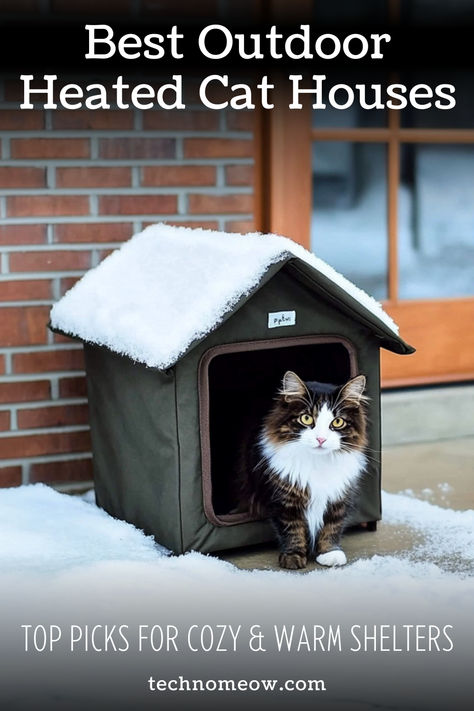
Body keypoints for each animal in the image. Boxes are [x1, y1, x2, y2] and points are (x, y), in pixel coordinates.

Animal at [239, 370, 368, 572]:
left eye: (337, 422)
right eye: (307, 418)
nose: (321, 439)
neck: (317, 463)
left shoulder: (338, 498)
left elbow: (331, 527)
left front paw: (329, 554)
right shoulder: (285, 502)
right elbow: (293, 530)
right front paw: (293, 557)